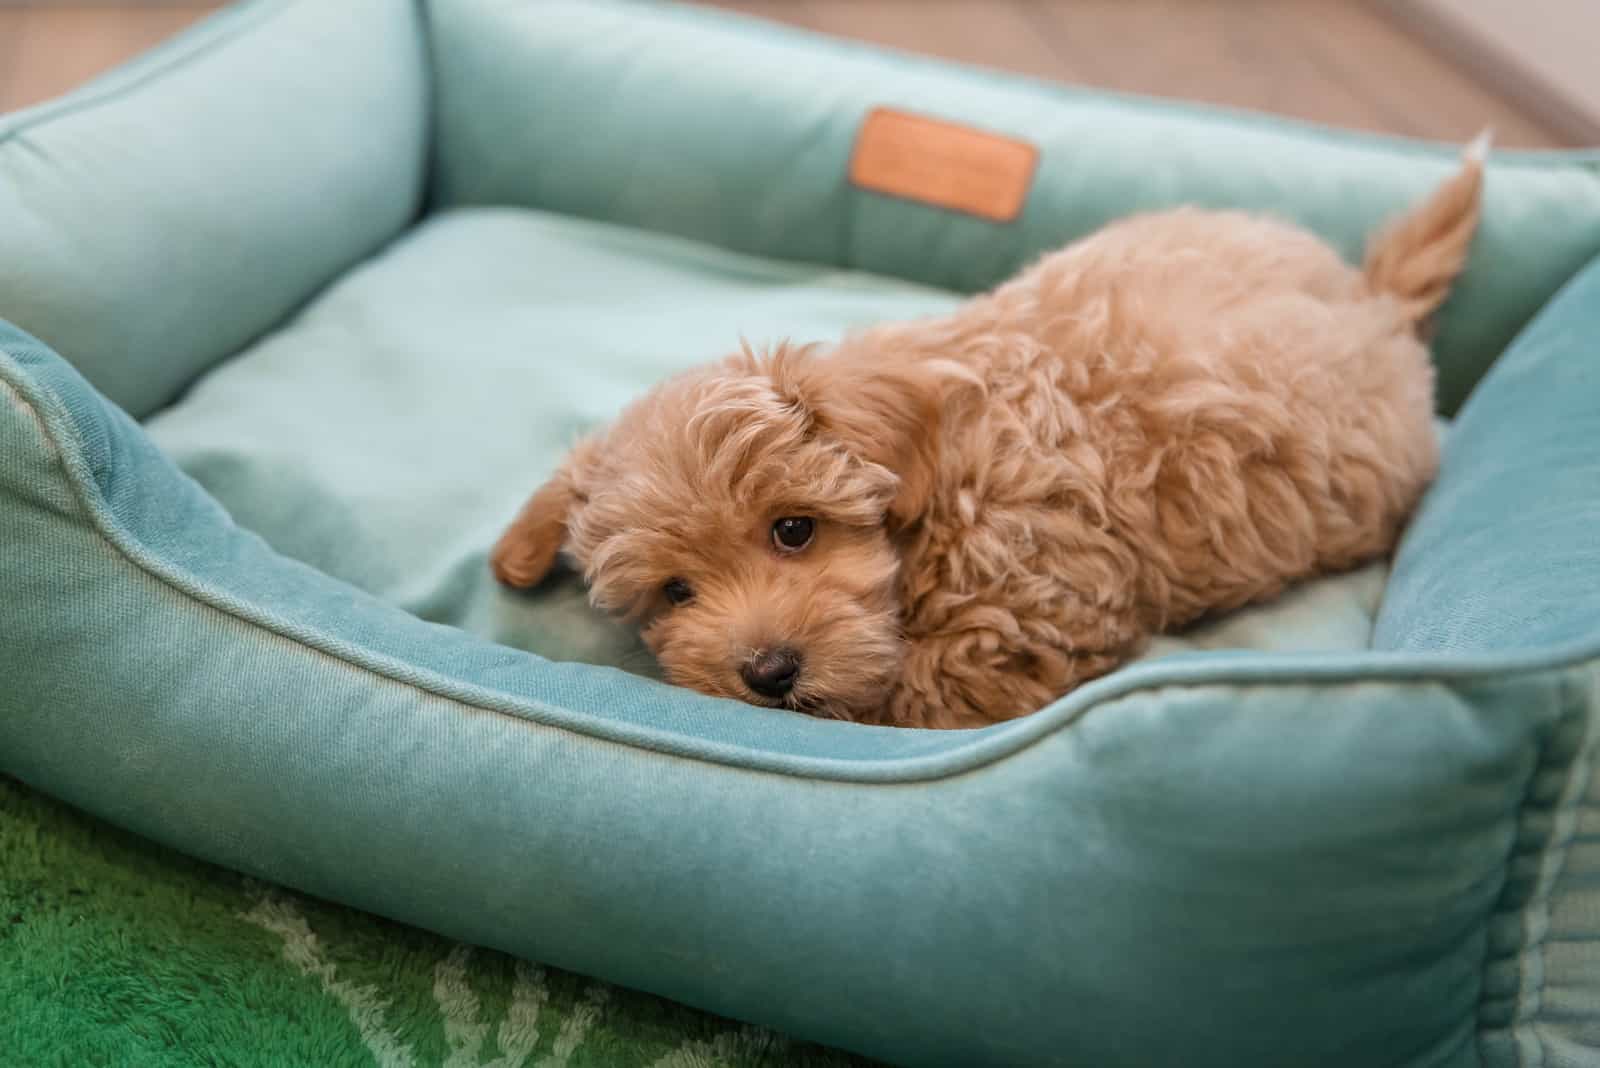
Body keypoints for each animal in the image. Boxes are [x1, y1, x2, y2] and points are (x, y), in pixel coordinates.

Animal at [489, 139, 1484, 725]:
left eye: (794, 529)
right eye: (675, 592)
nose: (767, 671)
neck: (940, 477)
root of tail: (1376, 303)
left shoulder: (1019, 612)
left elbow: (915, 697)